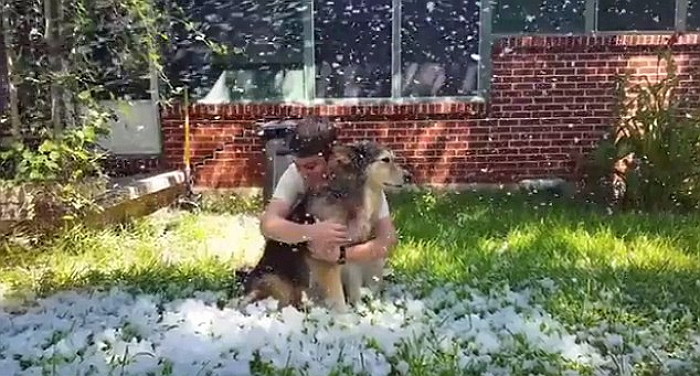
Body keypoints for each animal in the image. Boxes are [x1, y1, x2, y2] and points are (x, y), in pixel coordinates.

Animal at [242, 141, 410, 312]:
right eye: (385, 160)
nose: (409, 177)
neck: (349, 195)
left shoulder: (351, 255)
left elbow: (355, 288)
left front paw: (358, 311)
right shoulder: (326, 264)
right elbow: (339, 299)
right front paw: (344, 317)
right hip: (278, 286)